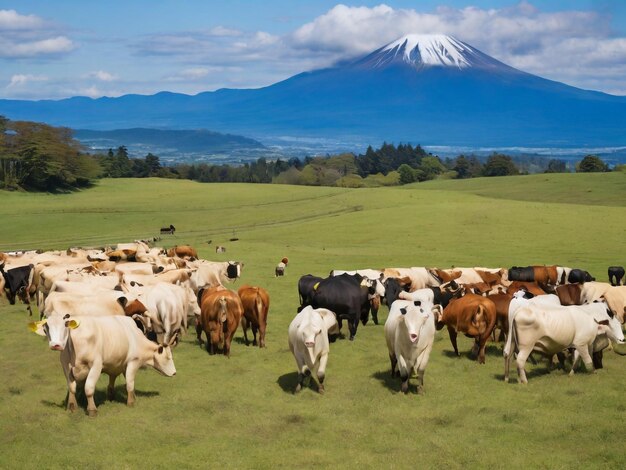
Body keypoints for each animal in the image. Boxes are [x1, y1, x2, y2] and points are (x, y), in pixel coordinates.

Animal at [28, 314, 176, 416]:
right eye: (46, 328)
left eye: (65, 325)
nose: (56, 345)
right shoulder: (68, 366)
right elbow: (76, 388)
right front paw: (78, 407)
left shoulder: (116, 365)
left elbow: (125, 383)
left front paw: (124, 398)